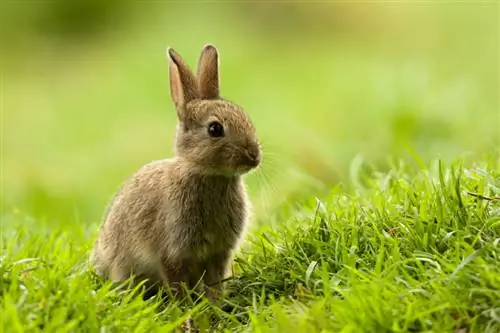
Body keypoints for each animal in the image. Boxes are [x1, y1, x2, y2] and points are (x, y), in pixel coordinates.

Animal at [90, 42, 262, 300]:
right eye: (215, 129)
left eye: (246, 117)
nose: (254, 156)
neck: (207, 174)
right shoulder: (172, 251)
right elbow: (176, 281)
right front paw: (186, 307)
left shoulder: (219, 252)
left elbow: (215, 280)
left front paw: (217, 303)